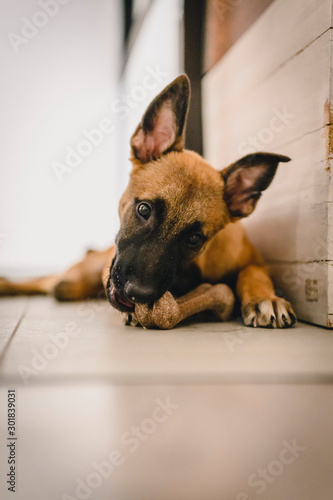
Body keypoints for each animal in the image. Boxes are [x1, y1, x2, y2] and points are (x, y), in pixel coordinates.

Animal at [0, 75, 296, 328]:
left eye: (195, 239)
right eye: (144, 209)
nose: (138, 295)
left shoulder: (253, 260)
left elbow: (253, 273)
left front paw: (264, 298)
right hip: (78, 273)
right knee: (47, 280)